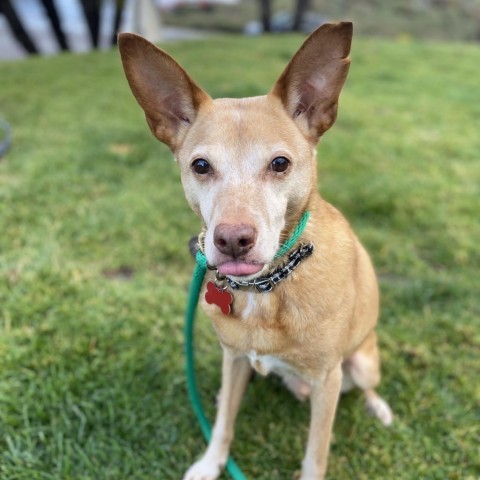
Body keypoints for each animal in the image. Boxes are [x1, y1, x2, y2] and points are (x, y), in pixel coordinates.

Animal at [118, 23, 392, 480]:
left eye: (280, 163)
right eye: (200, 166)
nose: (231, 240)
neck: (266, 289)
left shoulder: (327, 380)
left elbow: (316, 452)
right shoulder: (233, 359)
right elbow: (223, 422)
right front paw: (211, 463)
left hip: (361, 362)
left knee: (367, 385)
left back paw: (379, 407)